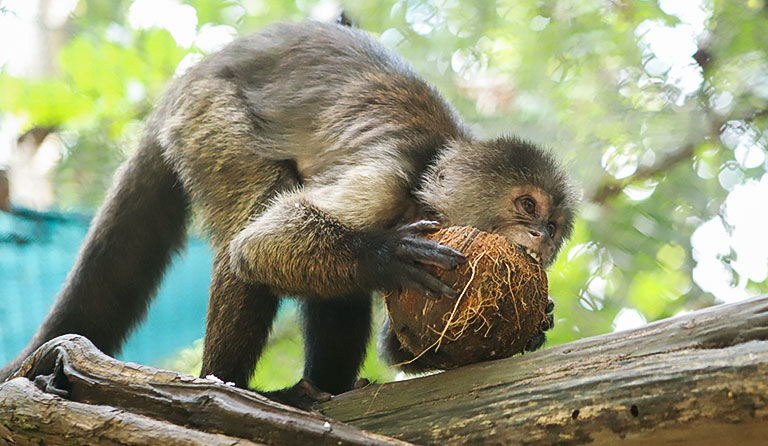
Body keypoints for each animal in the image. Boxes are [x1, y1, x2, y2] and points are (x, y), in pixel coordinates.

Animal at [0, 21, 576, 408]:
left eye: (553, 230)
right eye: (527, 206)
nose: (538, 237)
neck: (425, 185)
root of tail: (194, 74)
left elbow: (403, 346)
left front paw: (536, 326)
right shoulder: (387, 174)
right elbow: (257, 247)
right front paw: (384, 256)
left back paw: (324, 387)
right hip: (208, 113)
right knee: (252, 220)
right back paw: (230, 385)